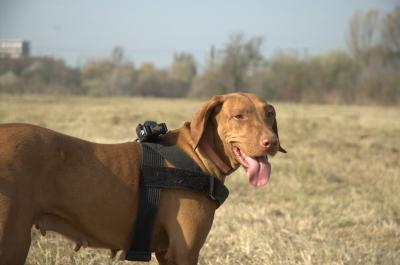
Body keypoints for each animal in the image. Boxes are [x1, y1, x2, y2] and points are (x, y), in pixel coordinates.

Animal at [1, 93, 286, 264]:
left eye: (269, 114)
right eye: (239, 116)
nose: (271, 142)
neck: (197, 154)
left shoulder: (166, 252)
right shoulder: (184, 251)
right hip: (13, 241)